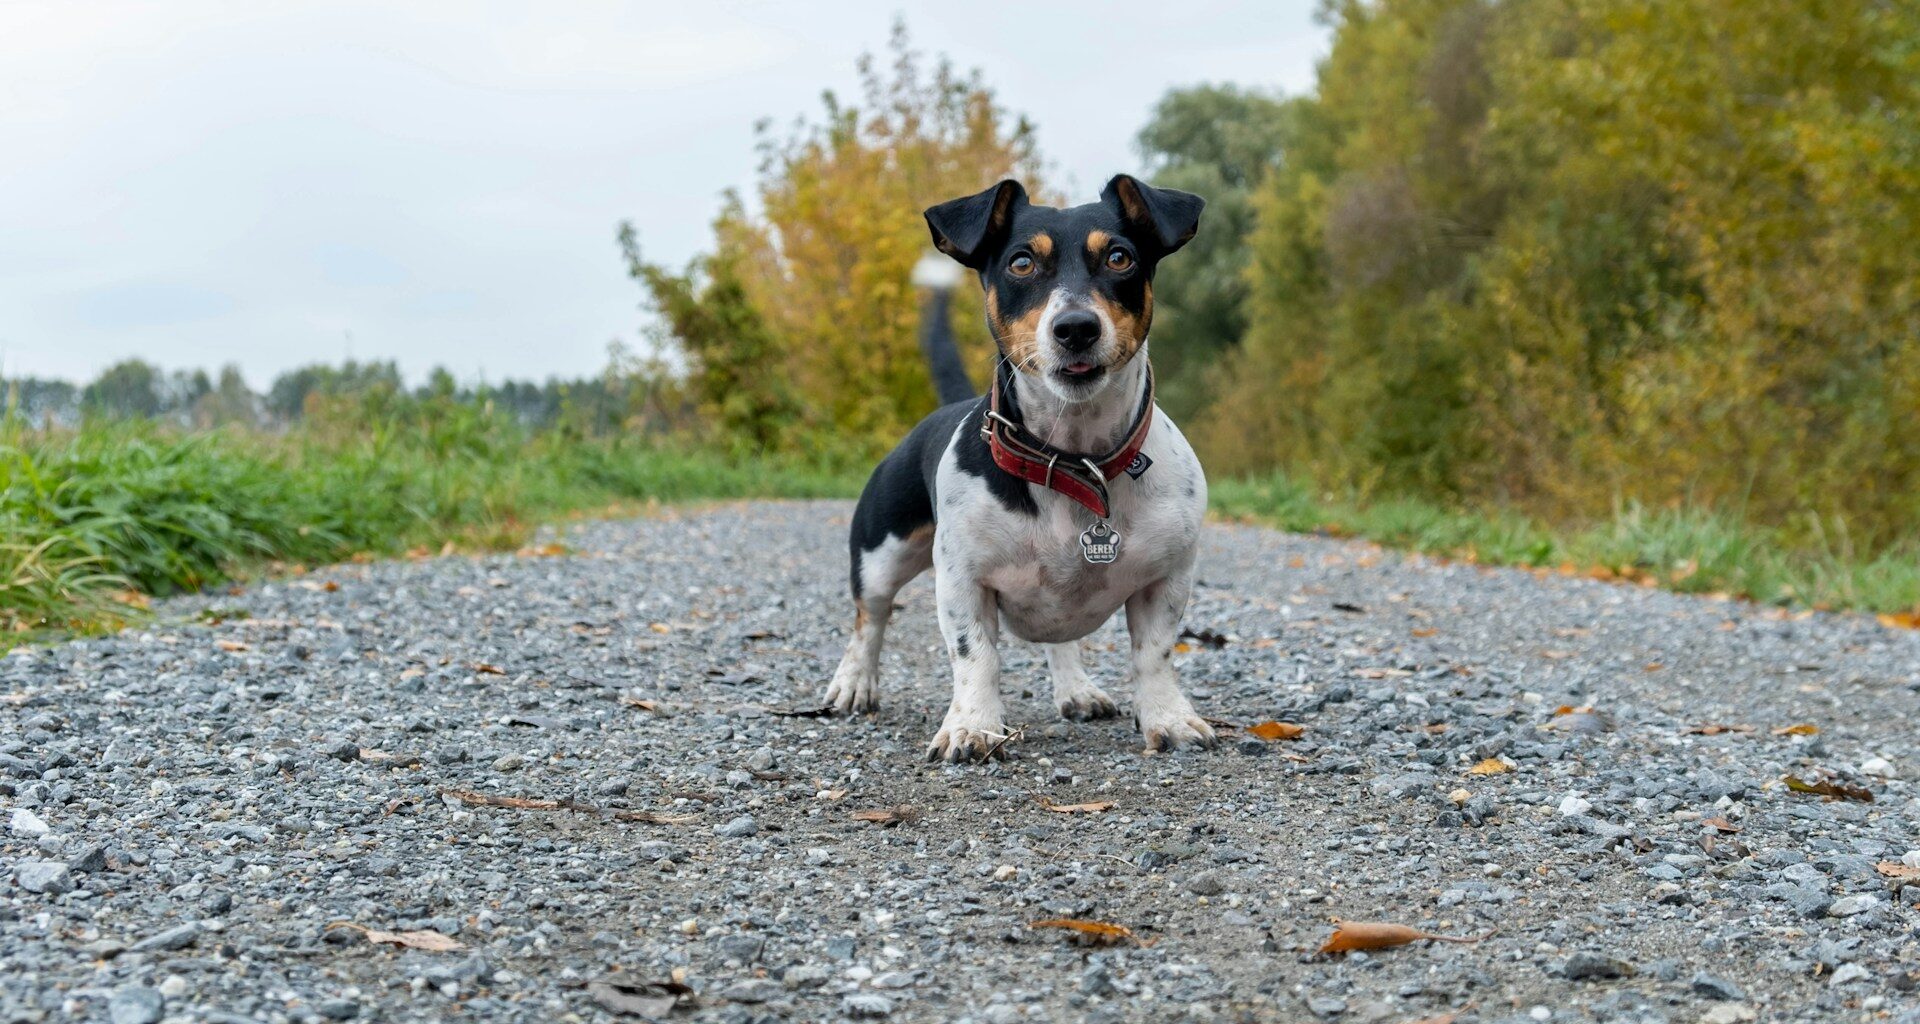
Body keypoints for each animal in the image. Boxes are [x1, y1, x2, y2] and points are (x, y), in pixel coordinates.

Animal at [825, 173, 1213, 756]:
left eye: (1119, 257)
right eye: (1022, 263)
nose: (1076, 327)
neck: (1073, 462)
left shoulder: (1167, 579)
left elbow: (1154, 655)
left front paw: (1168, 717)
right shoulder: (962, 580)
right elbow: (975, 655)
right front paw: (973, 725)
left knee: (1061, 642)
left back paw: (1076, 688)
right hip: (879, 553)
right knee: (869, 619)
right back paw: (854, 682)